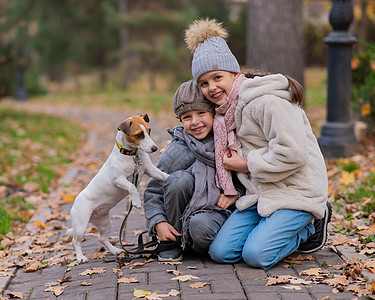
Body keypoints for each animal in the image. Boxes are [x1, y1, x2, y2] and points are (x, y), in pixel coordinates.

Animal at [67, 113, 168, 262]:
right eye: (139, 134)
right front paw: (137, 202)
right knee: (76, 241)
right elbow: (132, 186)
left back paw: (115, 250)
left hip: (105, 223)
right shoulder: (118, 179)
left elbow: (164, 175)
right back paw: (80, 257)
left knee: (102, 238)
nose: (155, 148)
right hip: (81, 226)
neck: (132, 155)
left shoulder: (151, 170)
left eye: (149, 131)